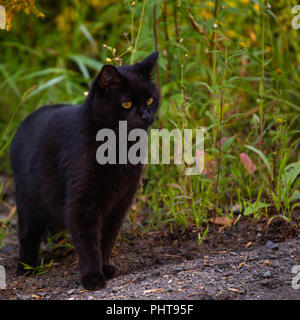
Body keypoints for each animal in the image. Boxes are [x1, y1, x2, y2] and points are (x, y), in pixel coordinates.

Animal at [9, 52, 159, 290]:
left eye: (150, 100)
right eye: (126, 103)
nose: (145, 115)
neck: (119, 150)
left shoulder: (119, 202)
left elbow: (107, 238)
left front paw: (105, 268)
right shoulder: (82, 202)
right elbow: (88, 242)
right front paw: (92, 276)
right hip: (28, 200)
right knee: (27, 233)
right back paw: (26, 268)